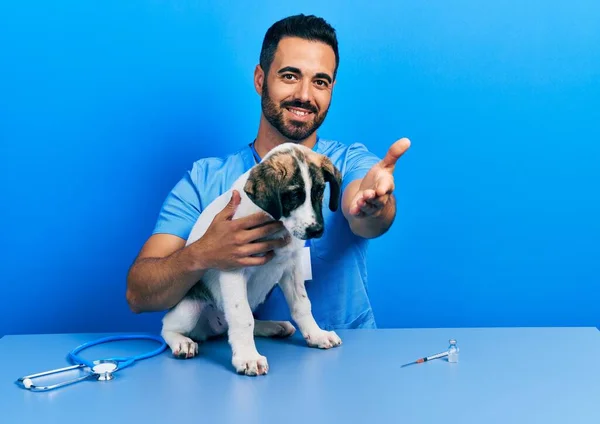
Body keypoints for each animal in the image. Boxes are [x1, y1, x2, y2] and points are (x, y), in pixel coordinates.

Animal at [162, 144, 344, 376]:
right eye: (293, 194)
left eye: (320, 191)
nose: (316, 231)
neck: (274, 223)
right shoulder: (233, 267)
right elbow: (242, 317)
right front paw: (248, 358)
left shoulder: (291, 267)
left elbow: (302, 304)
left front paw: (316, 334)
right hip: (190, 307)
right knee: (167, 326)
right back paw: (182, 342)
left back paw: (272, 326)